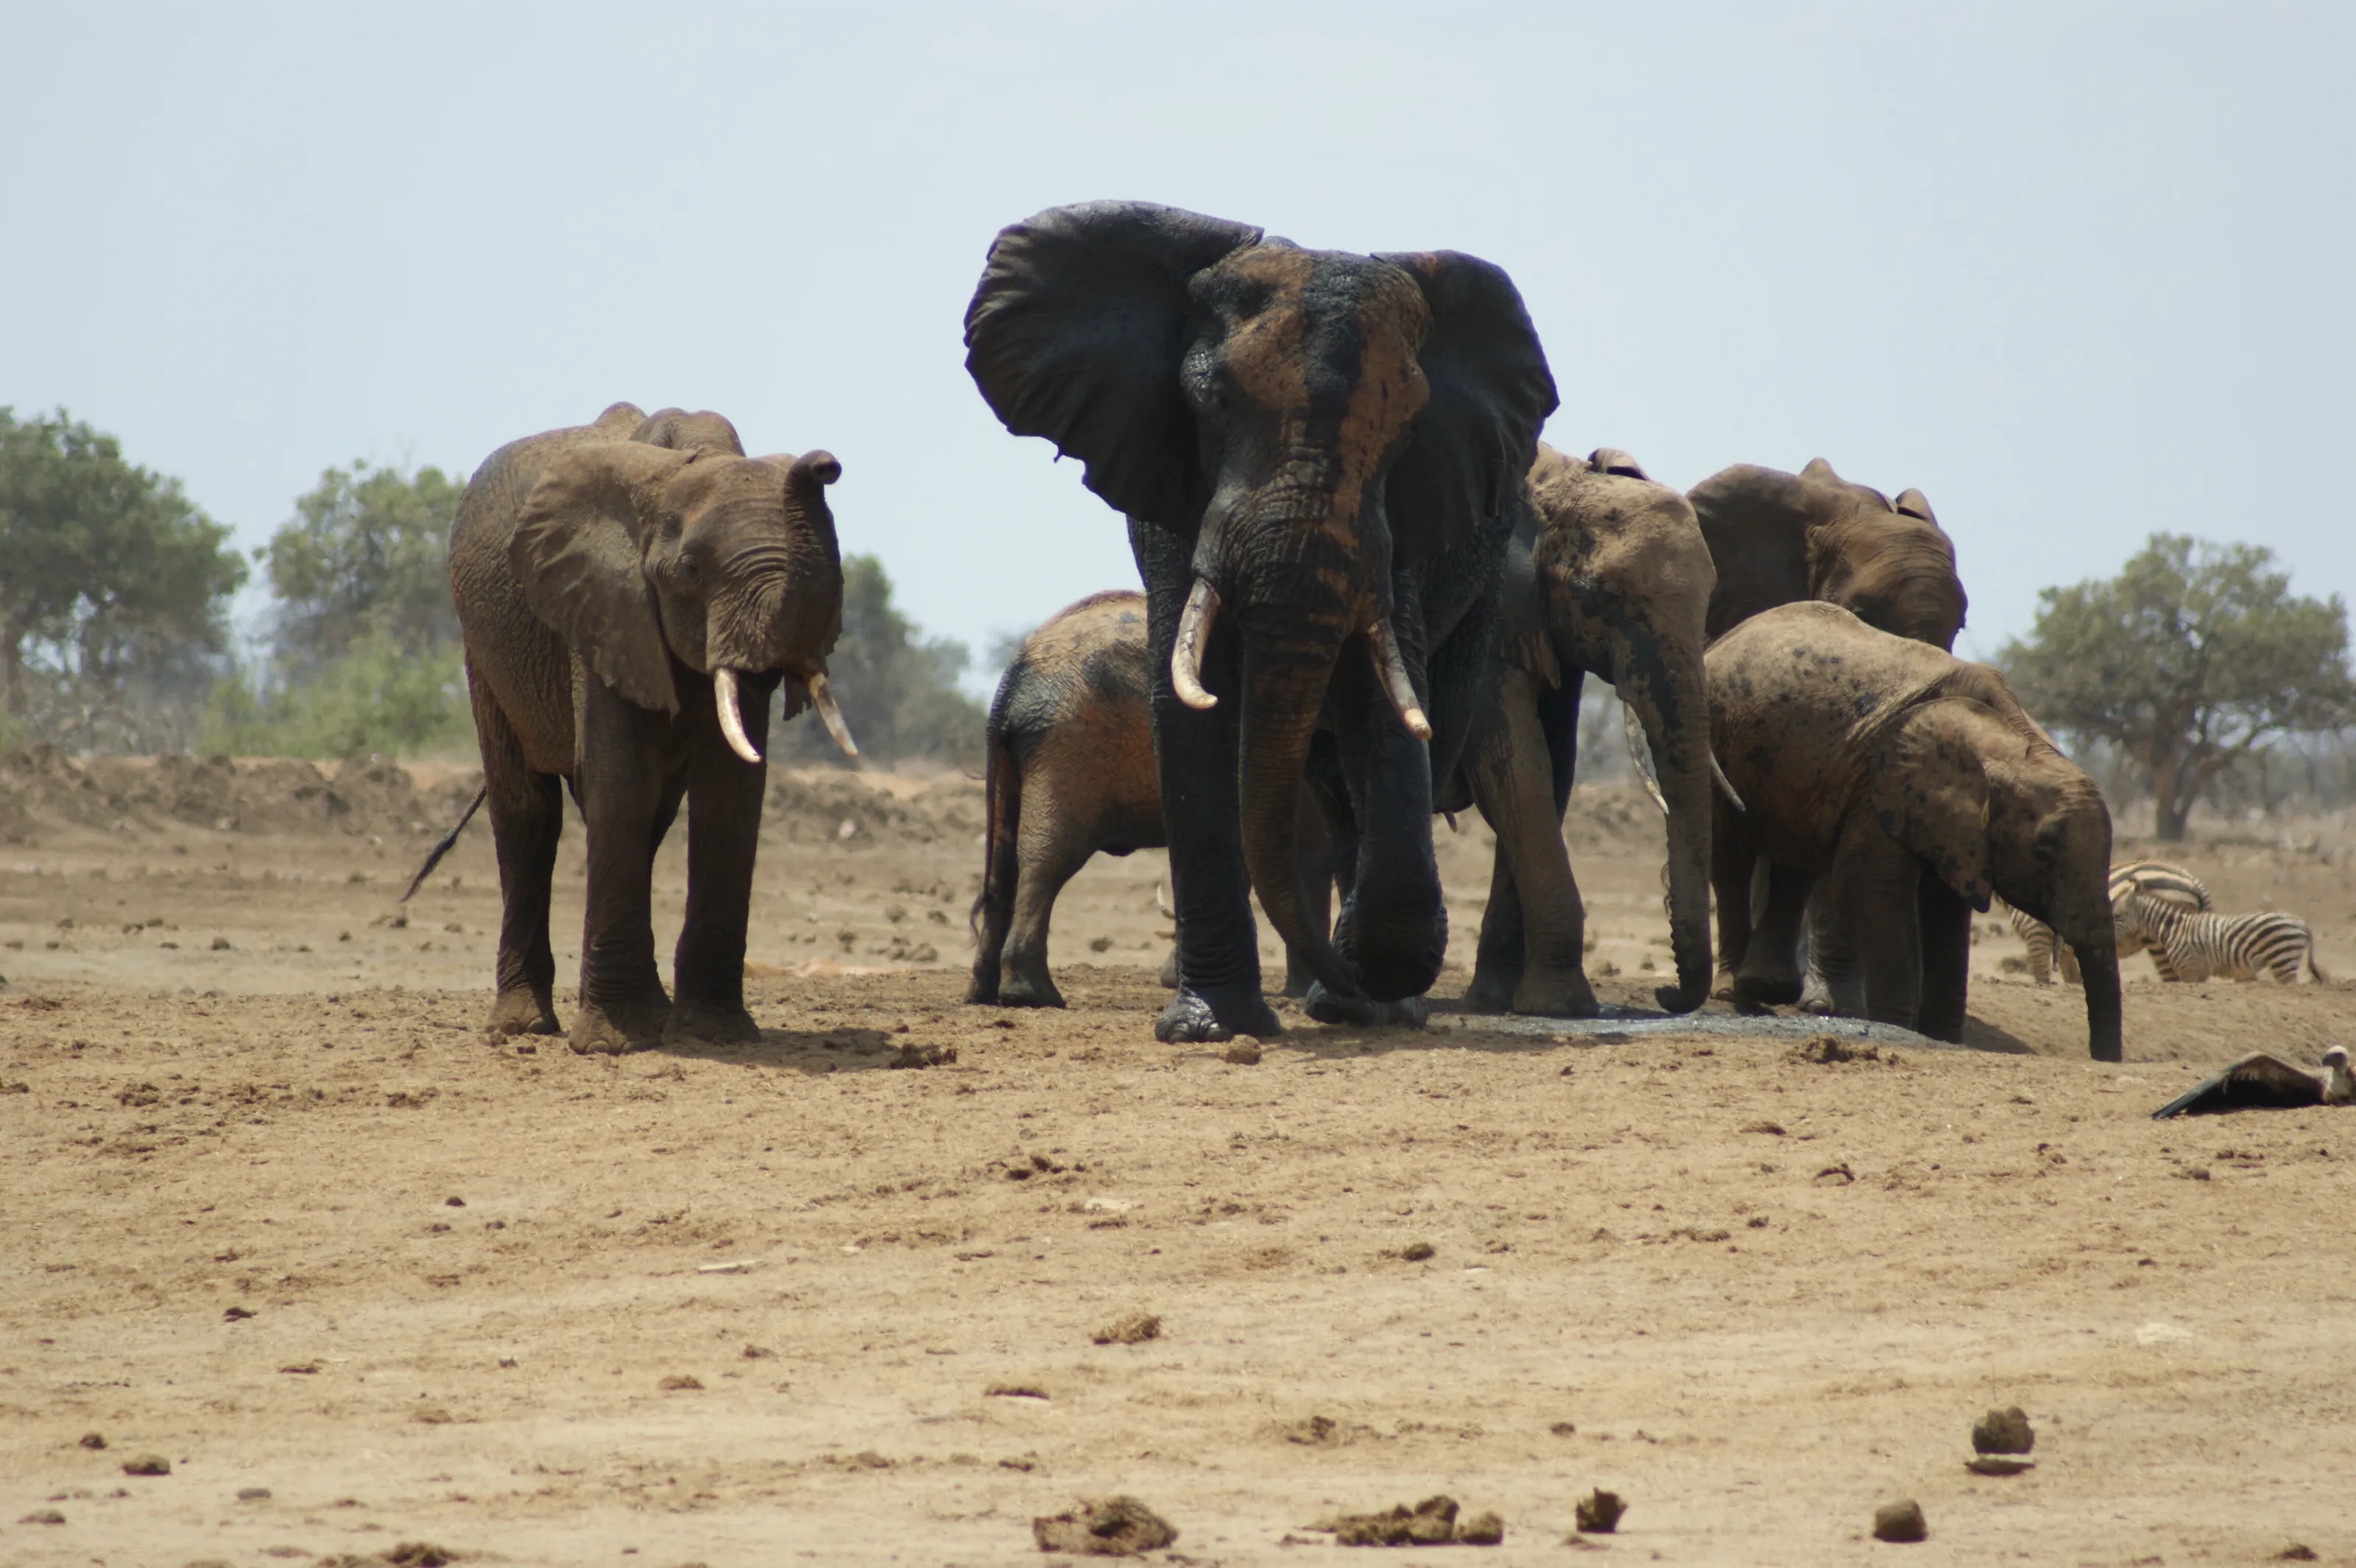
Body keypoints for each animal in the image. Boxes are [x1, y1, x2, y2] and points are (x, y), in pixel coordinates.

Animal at [449, 401, 858, 1054]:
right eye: (689, 571)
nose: (824, 464)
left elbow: (731, 795)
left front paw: (716, 1034)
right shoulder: (603, 606)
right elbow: (618, 783)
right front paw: (610, 1044)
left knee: (653, 816)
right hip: (482, 647)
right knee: (529, 812)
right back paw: (521, 1027)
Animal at [964, 590, 1327, 1009]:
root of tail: (1012, 679)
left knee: (1003, 860)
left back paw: (984, 994)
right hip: (1069, 745)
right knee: (1048, 855)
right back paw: (1034, 996)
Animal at [1455, 443, 1719, 1017]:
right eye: (1596, 595)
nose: (1665, 993)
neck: (1555, 480)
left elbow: (1551, 769)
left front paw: (1497, 1001)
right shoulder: (1490, 610)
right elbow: (1511, 764)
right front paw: (1561, 1007)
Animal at [1707, 601, 2123, 1061]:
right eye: (2044, 848)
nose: (2100, 1058)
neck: (2011, 742)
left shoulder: (1952, 828)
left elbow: (1947, 910)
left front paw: (1941, 1037)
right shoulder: (1882, 783)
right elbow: (1868, 888)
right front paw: (1896, 1027)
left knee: (1794, 866)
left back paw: (1764, 987)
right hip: (1718, 736)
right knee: (1731, 862)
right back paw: (1732, 993)